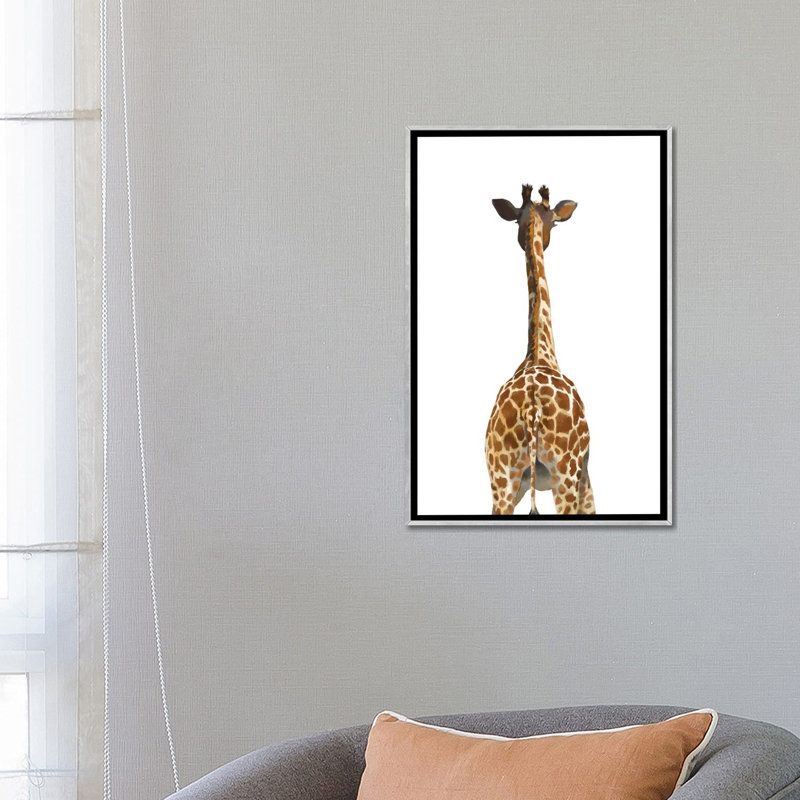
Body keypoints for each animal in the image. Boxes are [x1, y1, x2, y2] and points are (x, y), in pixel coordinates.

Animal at [485, 184, 595, 516]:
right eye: (555, 223)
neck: (541, 353)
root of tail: (531, 410)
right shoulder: (587, 476)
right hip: (565, 473)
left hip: (502, 480)